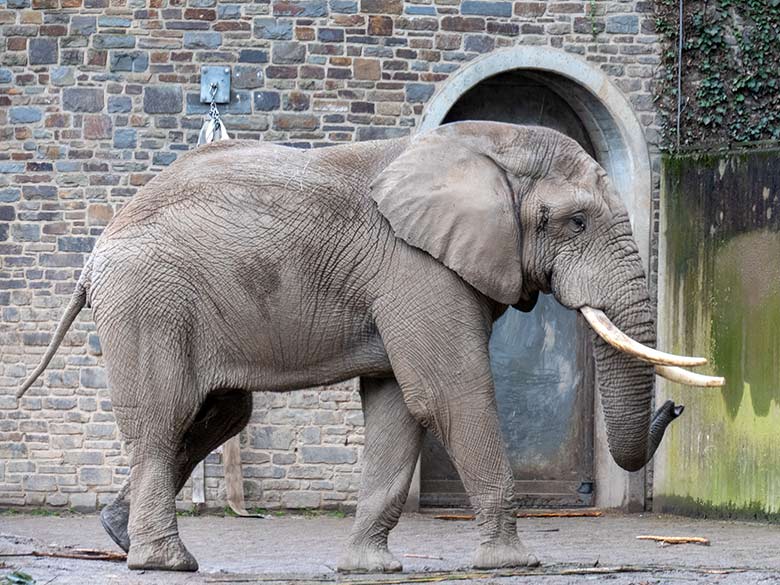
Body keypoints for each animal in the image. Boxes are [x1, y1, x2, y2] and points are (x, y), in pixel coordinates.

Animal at [18, 118, 716, 572]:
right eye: (575, 221)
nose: (678, 408)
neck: (483, 145)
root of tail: (95, 255)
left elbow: (398, 408)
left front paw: (369, 570)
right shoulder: (416, 270)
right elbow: (448, 396)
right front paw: (514, 564)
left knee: (219, 414)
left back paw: (117, 536)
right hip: (149, 306)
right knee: (167, 420)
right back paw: (166, 563)